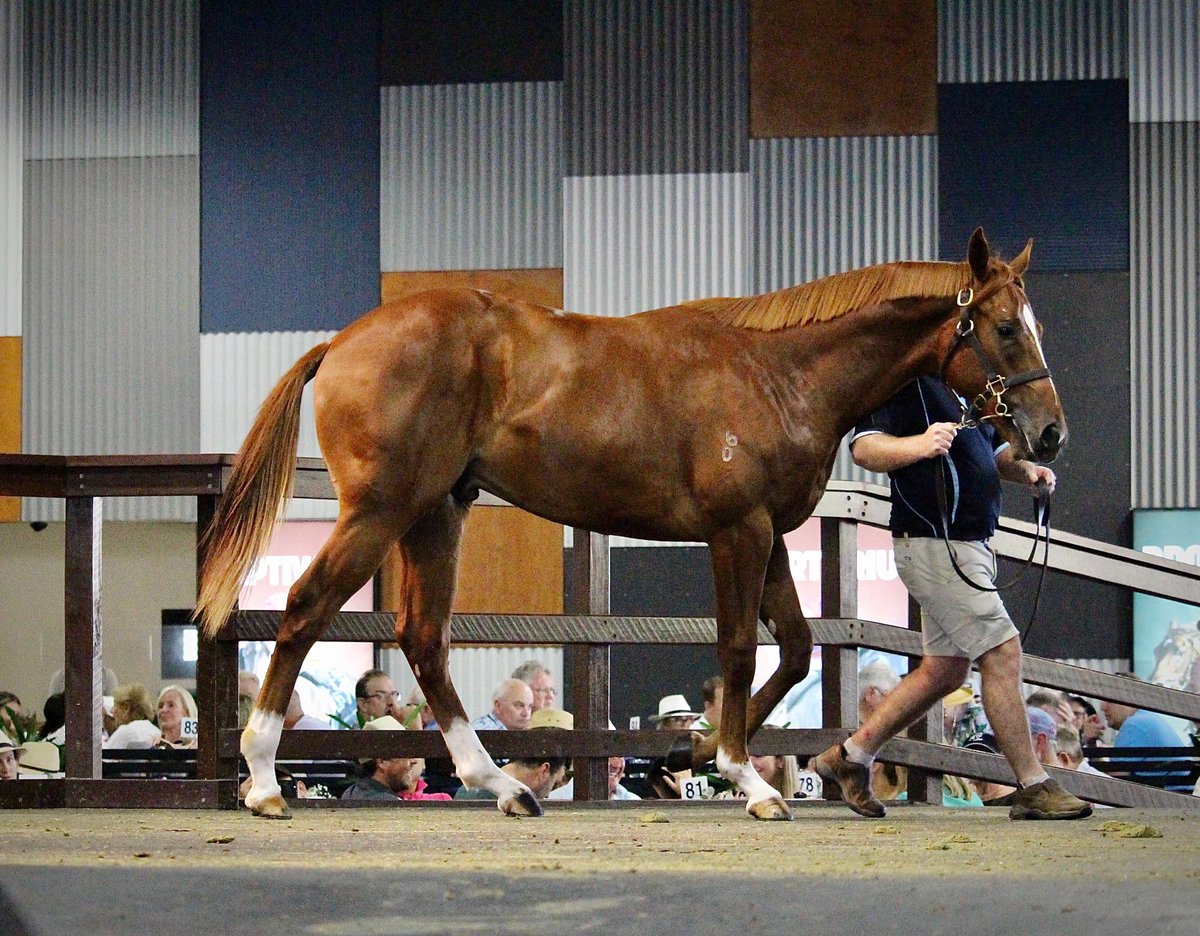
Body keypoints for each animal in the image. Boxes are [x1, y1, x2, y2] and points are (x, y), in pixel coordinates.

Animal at [197, 227, 1066, 821]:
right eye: (1005, 328)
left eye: (1035, 323)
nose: (1049, 434)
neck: (778, 372)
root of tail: (341, 341)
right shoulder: (737, 531)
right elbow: (741, 648)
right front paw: (746, 778)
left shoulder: (770, 534)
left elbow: (792, 648)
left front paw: (703, 746)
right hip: (381, 512)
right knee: (305, 609)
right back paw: (264, 781)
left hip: (436, 513)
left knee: (423, 639)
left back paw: (500, 784)